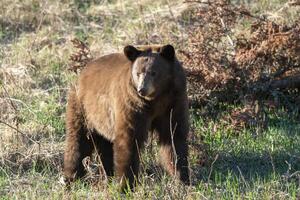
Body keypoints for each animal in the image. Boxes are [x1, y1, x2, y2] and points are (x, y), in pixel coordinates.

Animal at [63, 43, 190, 189]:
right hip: (83, 109)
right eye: (138, 73)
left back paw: (109, 174)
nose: (142, 89)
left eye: (153, 72)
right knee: (78, 140)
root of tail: (83, 71)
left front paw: (182, 178)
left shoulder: (173, 104)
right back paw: (71, 178)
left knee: (105, 146)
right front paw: (125, 185)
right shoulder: (132, 105)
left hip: (103, 120)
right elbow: (129, 140)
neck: (156, 100)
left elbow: (174, 138)